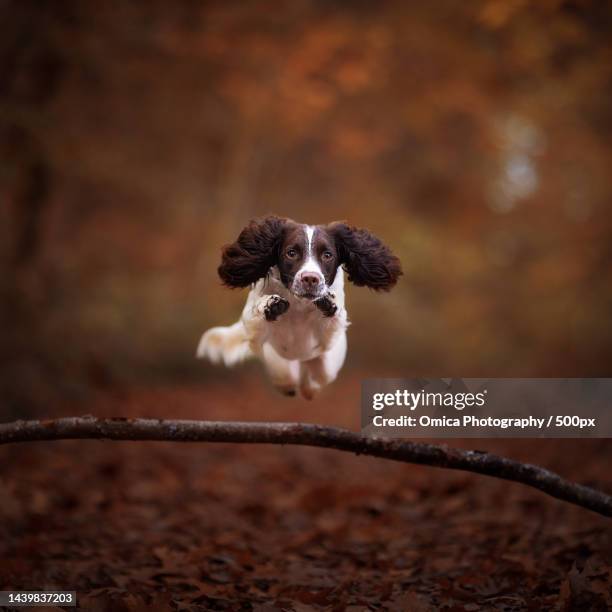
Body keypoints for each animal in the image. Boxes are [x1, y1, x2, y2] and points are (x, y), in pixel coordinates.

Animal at [196, 218, 404, 400]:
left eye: (327, 255)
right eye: (291, 253)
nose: (310, 278)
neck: (299, 303)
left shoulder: (328, 340)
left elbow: (334, 318)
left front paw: (330, 303)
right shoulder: (254, 333)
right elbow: (255, 318)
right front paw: (269, 304)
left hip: (325, 367)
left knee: (311, 385)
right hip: (280, 365)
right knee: (289, 381)